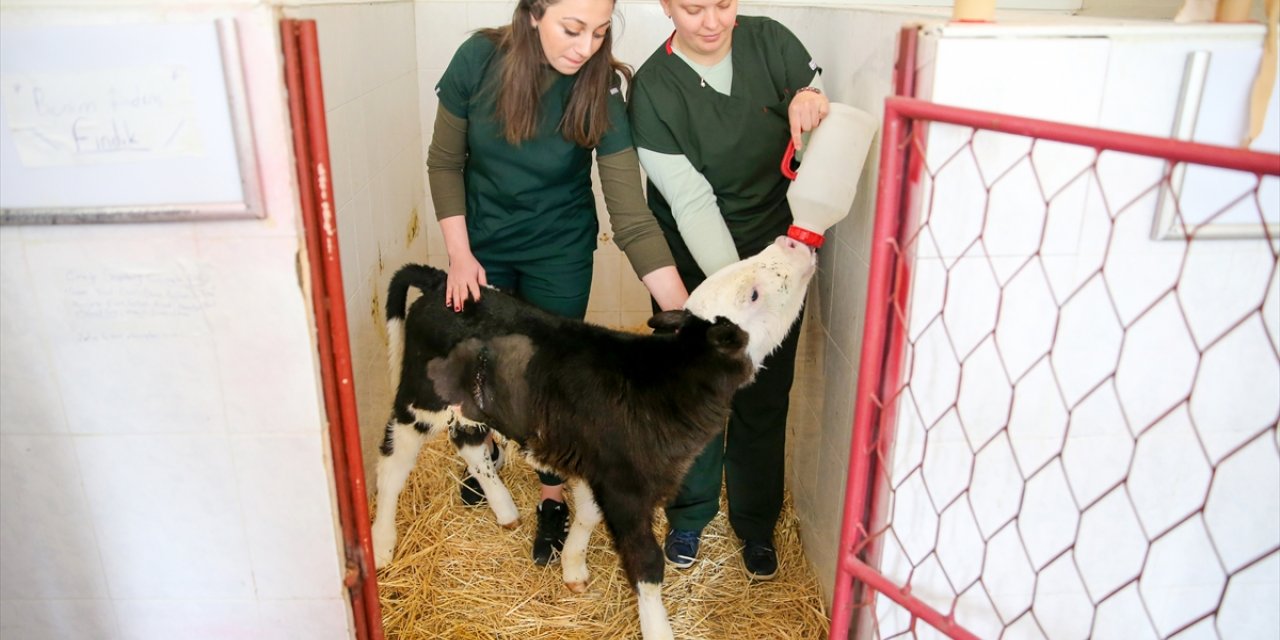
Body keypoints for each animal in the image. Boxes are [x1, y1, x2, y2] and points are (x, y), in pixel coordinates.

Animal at [366, 236, 814, 640]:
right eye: (752, 293)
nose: (791, 241)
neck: (665, 381)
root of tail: (443, 282)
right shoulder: (625, 488)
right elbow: (646, 564)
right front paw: (657, 629)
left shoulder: (595, 463)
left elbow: (586, 513)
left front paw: (573, 566)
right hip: (419, 397)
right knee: (393, 463)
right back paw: (383, 542)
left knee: (471, 445)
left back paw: (505, 509)